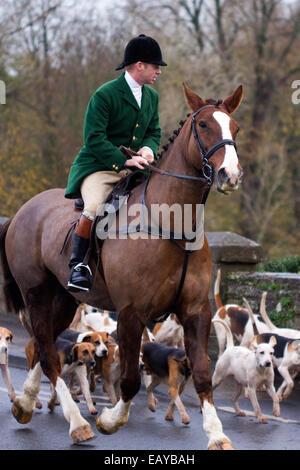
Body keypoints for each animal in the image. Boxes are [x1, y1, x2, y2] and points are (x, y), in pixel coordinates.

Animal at [0, 83, 243, 448]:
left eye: (235, 128)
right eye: (203, 125)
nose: (231, 175)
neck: (173, 223)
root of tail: (23, 210)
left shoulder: (195, 310)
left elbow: (202, 373)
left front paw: (216, 434)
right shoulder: (131, 312)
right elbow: (129, 380)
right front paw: (111, 420)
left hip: (64, 299)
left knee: (45, 347)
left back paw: (26, 403)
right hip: (36, 294)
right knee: (47, 354)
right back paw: (77, 423)